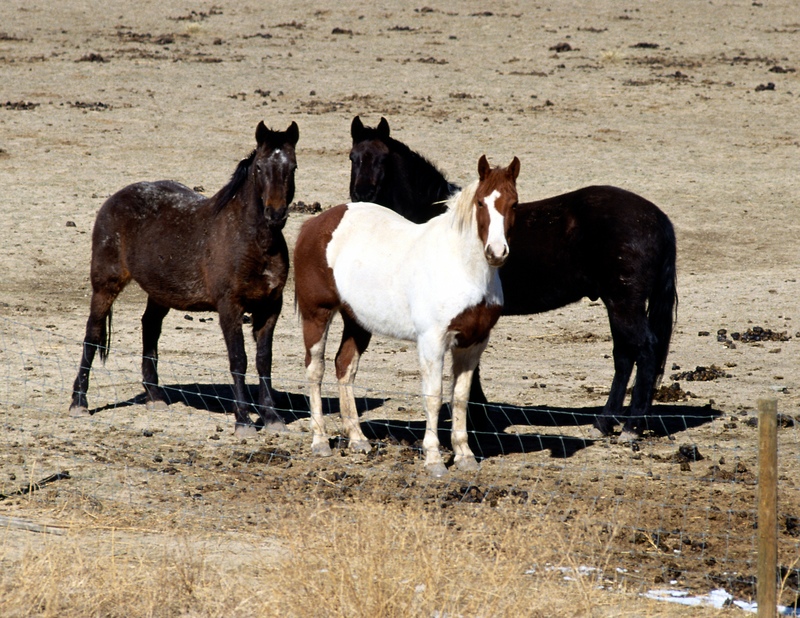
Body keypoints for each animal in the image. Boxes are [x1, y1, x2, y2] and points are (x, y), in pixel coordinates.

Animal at [69, 120, 298, 436]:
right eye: (261, 167)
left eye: (293, 167)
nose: (275, 214)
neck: (253, 241)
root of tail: (114, 199)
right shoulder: (230, 307)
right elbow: (238, 360)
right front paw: (243, 420)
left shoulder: (270, 307)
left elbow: (264, 361)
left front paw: (273, 418)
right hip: (105, 286)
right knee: (92, 334)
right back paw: (79, 402)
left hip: (160, 292)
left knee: (150, 328)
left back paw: (154, 396)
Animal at [294, 155, 520, 476]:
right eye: (480, 203)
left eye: (514, 203)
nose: (497, 252)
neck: (462, 268)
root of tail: (315, 224)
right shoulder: (432, 342)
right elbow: (434, 397)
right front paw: (434, 459)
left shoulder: (473, 343)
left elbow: (461, 398)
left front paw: (464, 456)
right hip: (317, 315)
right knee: (316, 370)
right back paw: (320, 441)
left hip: (357, 321)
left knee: (344, 367)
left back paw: (358, 440)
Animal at [348, 115, 676, 438]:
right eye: (353, 157)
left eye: (383, 159)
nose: (361, 195)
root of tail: (658, 217)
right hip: (617, 304)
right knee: (624, 355)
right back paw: (605, 422)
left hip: (624, 304)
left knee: (645, 350)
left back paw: (632, 426)